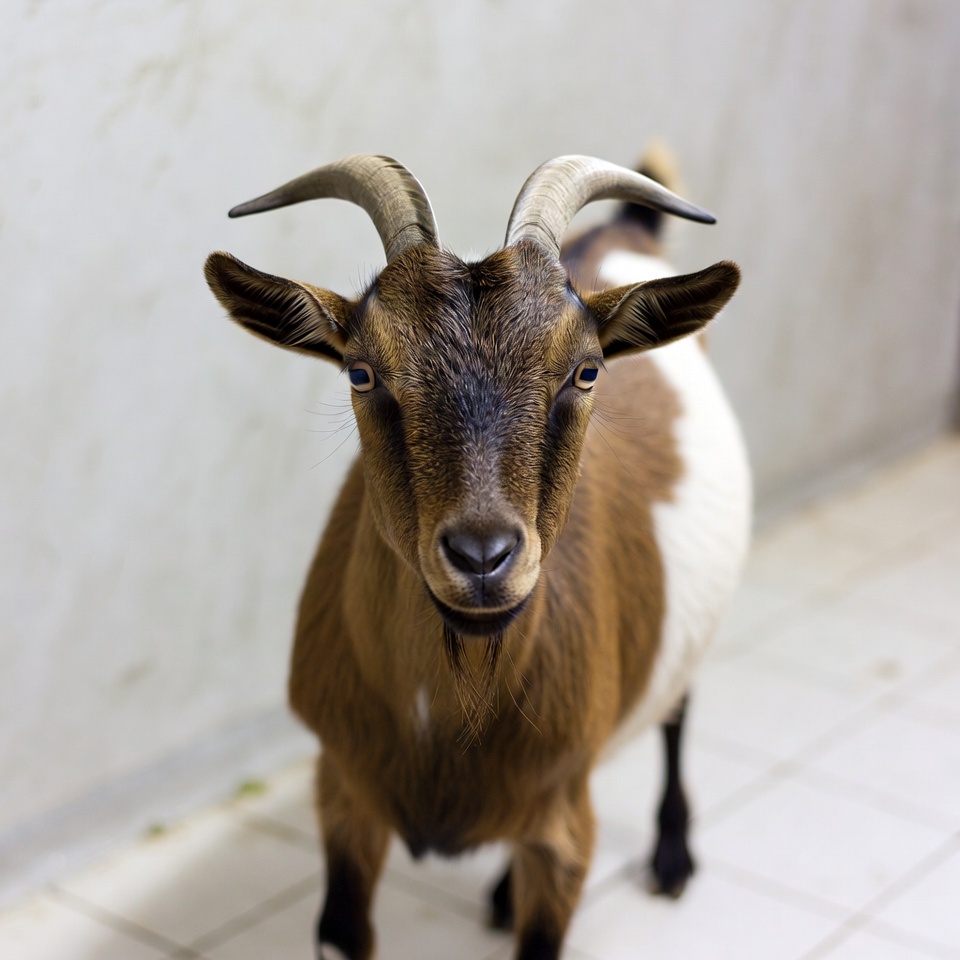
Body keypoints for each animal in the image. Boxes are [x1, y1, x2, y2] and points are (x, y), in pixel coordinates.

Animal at [204, 153, 751, 960]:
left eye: (587, 371)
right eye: (361, 372)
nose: (483, 556)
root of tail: (625, 231)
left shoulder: (565, 828)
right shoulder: (342, 793)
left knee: (679, 702)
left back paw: (672, 856)